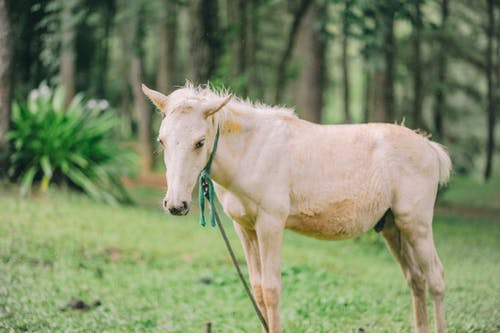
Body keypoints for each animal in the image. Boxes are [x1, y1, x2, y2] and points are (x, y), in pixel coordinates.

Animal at [143, 82, 452, 332]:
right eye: (162, 140)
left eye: (200, 142)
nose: (175, 204)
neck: (251, 151)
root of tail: (429, 147)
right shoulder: (245, 228)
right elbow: (258, 290)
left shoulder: (270, 225)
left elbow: (271, 290)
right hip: (392, 228)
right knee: (416, 280)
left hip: (416, 226)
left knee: (435, 278)